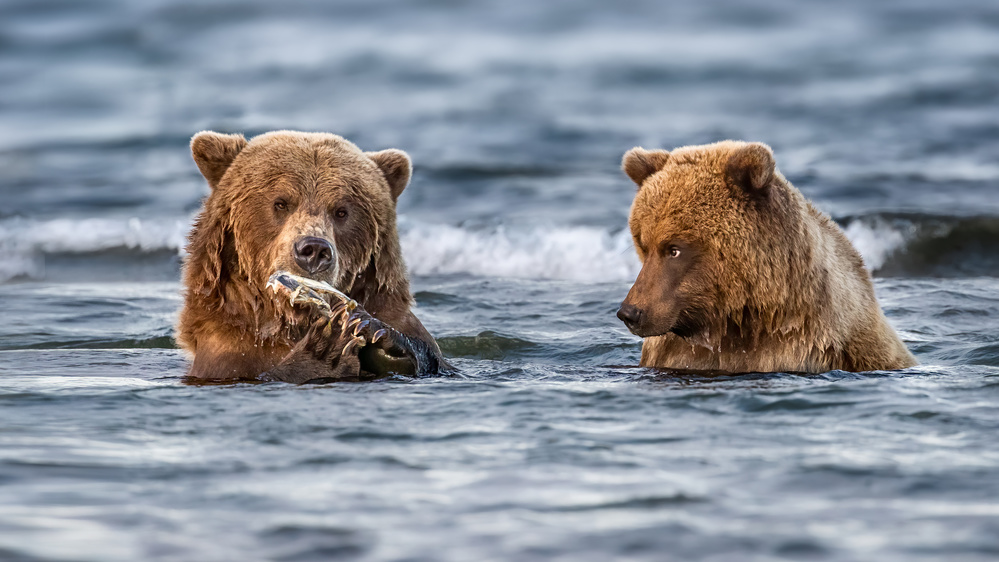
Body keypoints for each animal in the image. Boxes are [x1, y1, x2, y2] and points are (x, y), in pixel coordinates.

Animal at [178, 129, 444, 380]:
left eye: (341, 211)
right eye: (281, 203)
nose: (314, 250)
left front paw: (376, 332)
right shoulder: (228, 352)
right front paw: (324, 347)